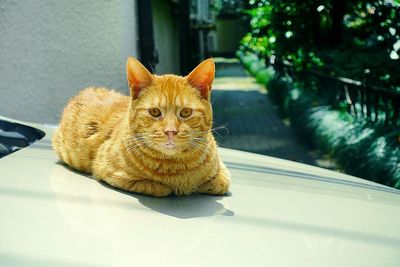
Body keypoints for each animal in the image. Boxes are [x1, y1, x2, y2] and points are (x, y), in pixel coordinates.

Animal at [51, 57, 230, 198]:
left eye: (186, 112)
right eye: (155, 111)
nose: (170, 131)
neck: (177, 168)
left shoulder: (222, 172)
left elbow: (221, 183)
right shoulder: (109, 172)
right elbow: (160, 188)